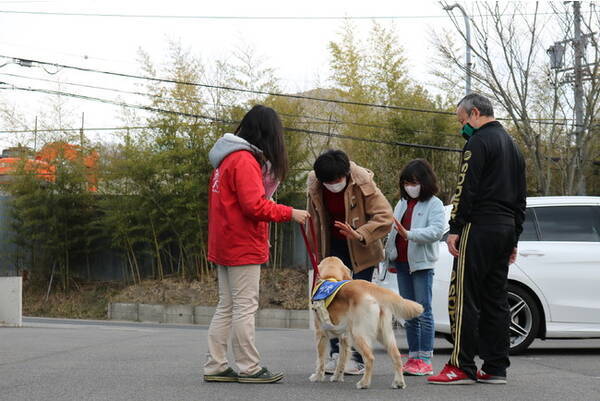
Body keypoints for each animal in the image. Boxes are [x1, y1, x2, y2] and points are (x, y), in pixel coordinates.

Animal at [308, 255, 424, 390]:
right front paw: (337, 377)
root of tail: (370, 287)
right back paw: (398, 382)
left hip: (358, 334)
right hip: (384, 334)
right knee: (396, 356)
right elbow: (342, 360)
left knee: (370, 358)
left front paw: (317, 377)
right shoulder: (344, 338)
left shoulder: (320, 334)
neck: (330, 277)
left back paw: (364, 383)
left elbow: (320, 360)